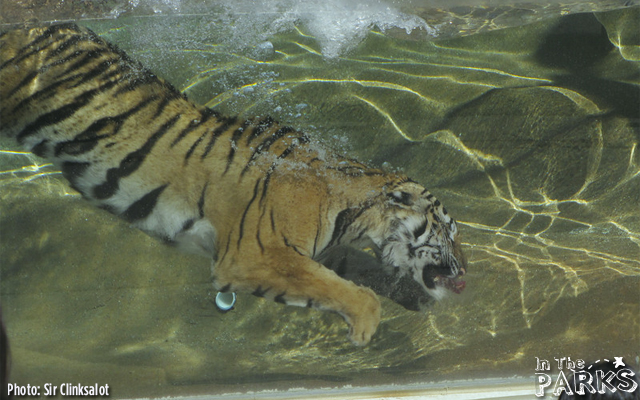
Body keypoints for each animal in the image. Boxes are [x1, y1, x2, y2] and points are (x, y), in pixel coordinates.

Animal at [0, 23, 467, 345]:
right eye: (448, 229)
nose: (465, 275)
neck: (354, 214)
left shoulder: (324, 251)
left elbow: (363, 273)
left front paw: (413, 298)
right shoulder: (256, 255)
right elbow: (347, 290)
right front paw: (365, 327)